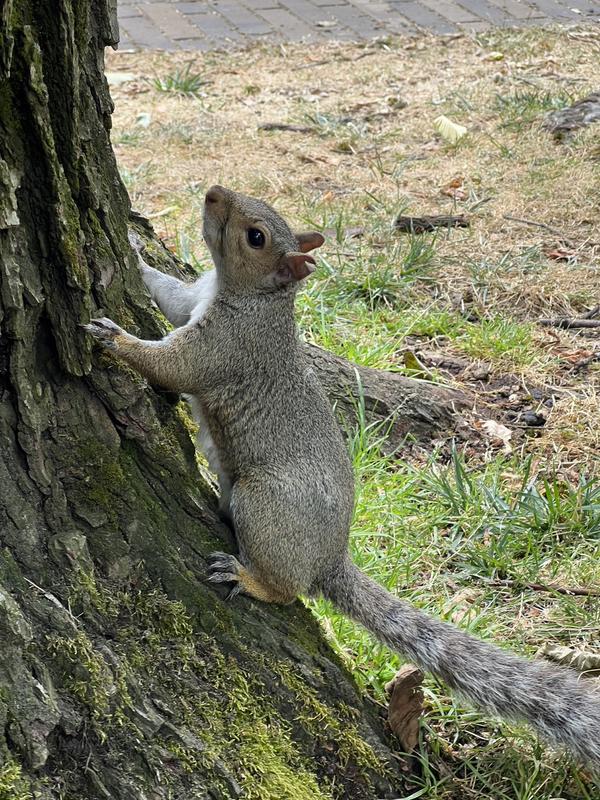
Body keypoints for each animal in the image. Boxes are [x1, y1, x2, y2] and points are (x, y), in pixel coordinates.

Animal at [86, 185, 600, 769]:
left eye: (255, 236)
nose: (214, 192)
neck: (254, 298)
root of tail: (329, 556)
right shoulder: (192, 299)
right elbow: (168, 292)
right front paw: (134, 247)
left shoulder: (227, 348)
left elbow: (172, 367)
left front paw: (114, 338)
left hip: (266, 504)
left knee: (287, 588)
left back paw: (249, 578)